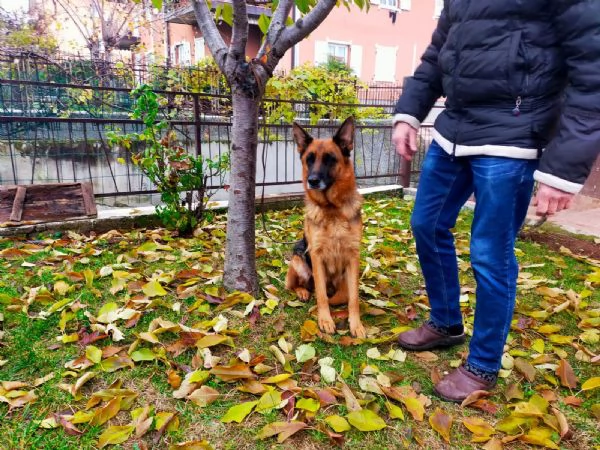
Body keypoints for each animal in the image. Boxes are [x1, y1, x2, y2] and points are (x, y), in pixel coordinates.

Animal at [286, 116, 366, 338]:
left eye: (330, 159)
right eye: (309, 159)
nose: (312, 181)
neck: (332, 210)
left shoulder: (353, 257)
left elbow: (352, 297)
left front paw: (356, 324)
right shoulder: (316, 256)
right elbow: (321, 294)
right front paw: (325, 319)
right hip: (298, 260)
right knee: (295, 286)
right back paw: (303, 291)